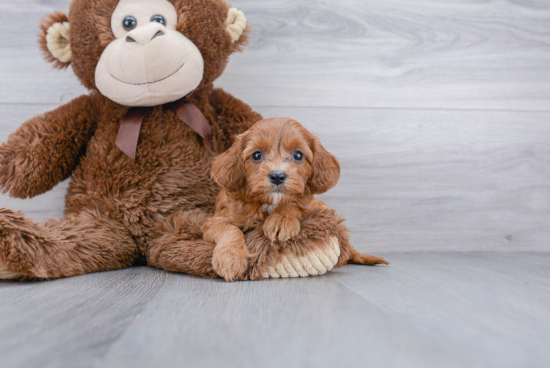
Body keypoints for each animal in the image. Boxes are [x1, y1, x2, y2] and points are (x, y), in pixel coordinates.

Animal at [203, 118, 388, 282]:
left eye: (298, 155)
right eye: (256, 155)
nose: (277, 176)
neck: (269, 203)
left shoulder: (309, 204)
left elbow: (294, 204)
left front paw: (281, 220)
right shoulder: (214, 222)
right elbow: (229, 229)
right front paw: (231, 258)